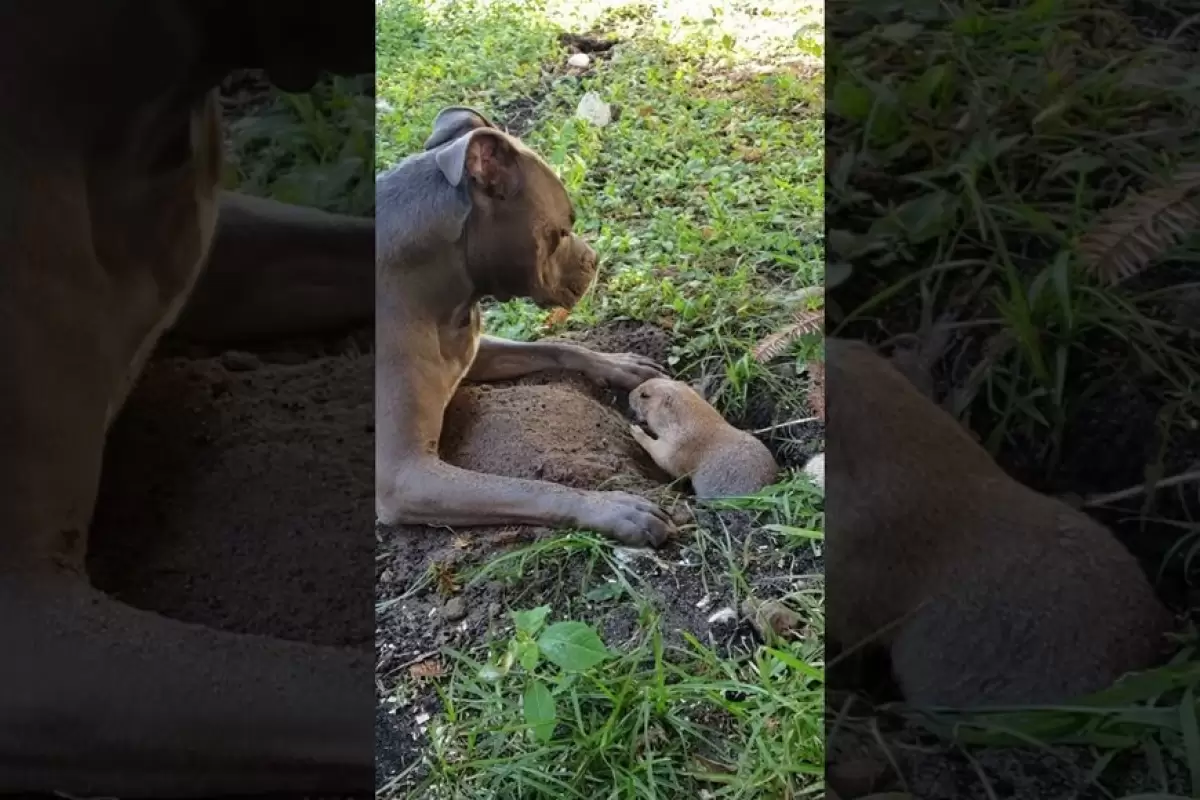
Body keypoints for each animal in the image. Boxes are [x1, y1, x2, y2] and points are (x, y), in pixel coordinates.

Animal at [374, 109, 676, 546]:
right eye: (563, 228)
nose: (594, 259)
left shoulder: (472, 352)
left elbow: (559, 347)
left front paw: (620, 365)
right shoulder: (407, 476)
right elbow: (529, 488)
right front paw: (612, 507)